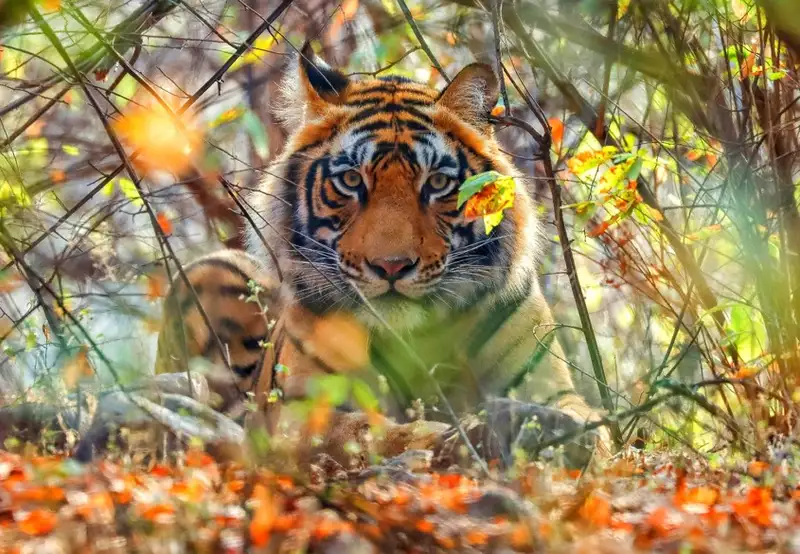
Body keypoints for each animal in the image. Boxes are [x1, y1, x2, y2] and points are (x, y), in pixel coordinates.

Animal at [154, 43, 611, 469]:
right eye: (351, 180)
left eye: (438, 183)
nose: (392, 266)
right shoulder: (299, 411)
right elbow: (369, 432)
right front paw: (452, 438)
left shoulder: (549, 386)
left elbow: (592, 423)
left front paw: (557, 433)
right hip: (211, 270)